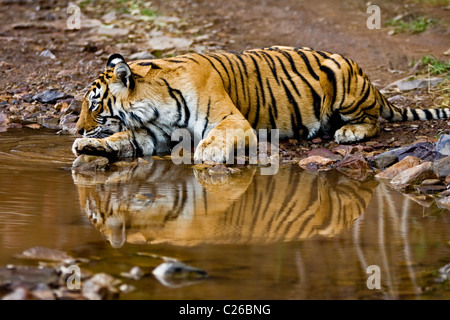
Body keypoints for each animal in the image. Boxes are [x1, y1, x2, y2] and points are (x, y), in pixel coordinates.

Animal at [72, 45, 448, 162]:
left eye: (94, 106)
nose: (75, 129)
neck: (154, 106)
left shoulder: (231, 119)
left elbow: (216, 137)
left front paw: (207, 153)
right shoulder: (155, 133)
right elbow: (123, 139)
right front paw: (90, 146)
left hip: (343, 81)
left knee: (373, 119)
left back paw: (349, 133)